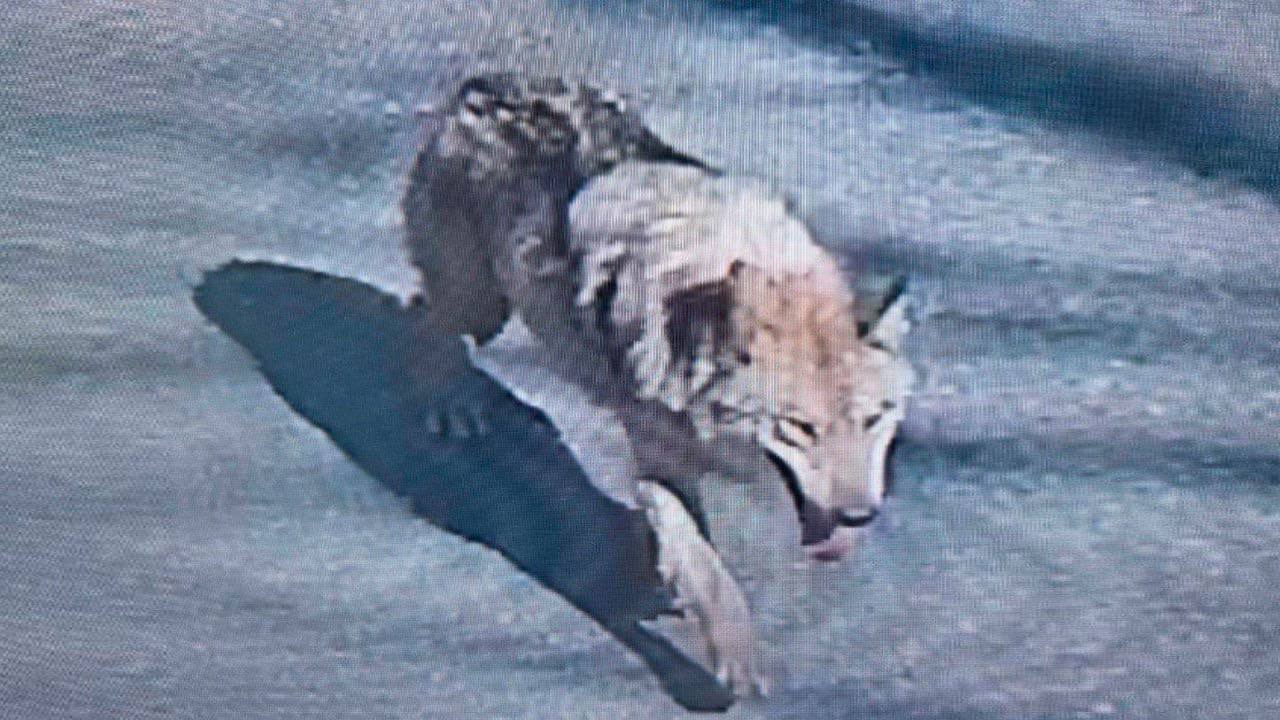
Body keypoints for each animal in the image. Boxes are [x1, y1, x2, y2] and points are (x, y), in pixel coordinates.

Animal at [402, 74, 913, 696]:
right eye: (800, 427)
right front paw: (735, 659)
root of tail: (487, 84)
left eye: (874, 419)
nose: (861, 517)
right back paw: (446, 403)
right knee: (425, 313)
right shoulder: (656, 459)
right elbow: (710, 572)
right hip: (482, 308)